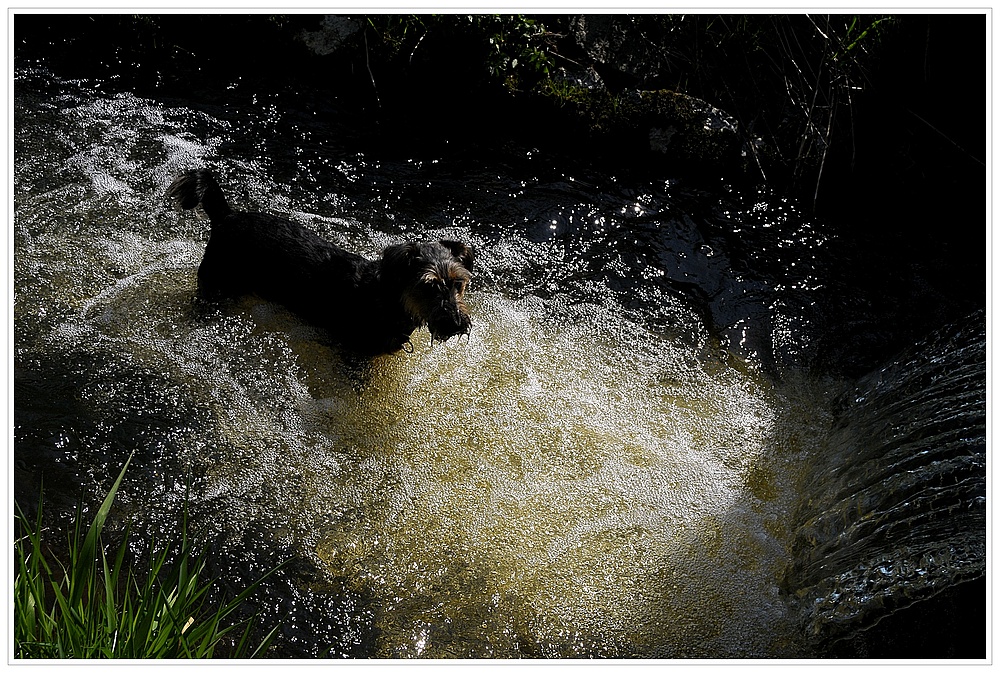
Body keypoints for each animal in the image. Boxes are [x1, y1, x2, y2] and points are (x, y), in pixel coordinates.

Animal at [166, 168, 474, 354]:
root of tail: (225, 216)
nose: (457, 323)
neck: (389, 297)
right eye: (429, 286)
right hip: (214, 286)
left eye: (458, 283)